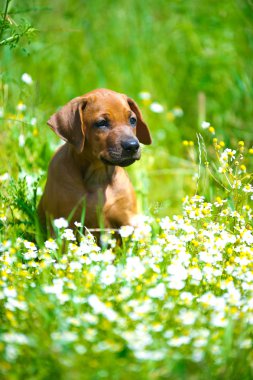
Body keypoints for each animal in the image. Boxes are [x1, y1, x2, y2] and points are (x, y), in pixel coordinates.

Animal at [38, 89, 150, 232]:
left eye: (132, 120)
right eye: (102, 123)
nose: (133, 146)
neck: (98, 175)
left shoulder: (128, 220)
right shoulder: (62, 223)